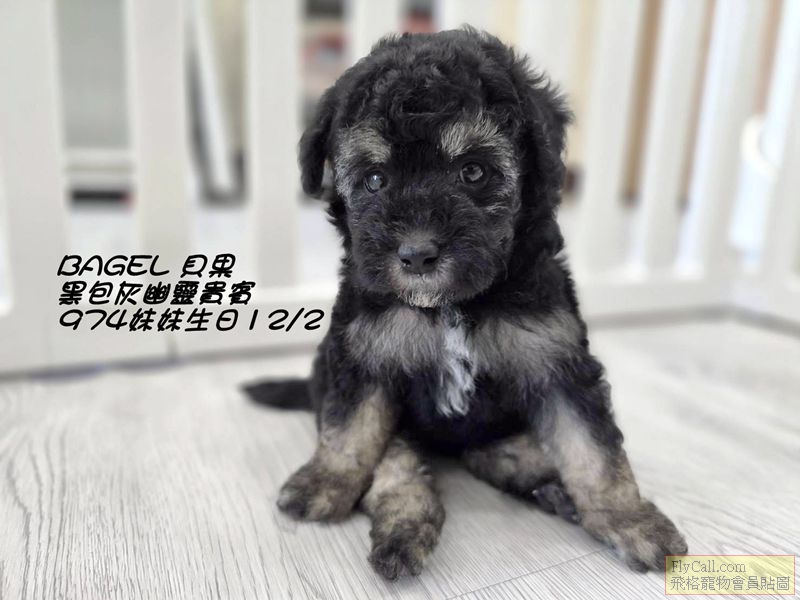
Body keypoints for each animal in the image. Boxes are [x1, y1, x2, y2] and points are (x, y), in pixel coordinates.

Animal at [244, 28, 687, 580]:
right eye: (374, 180)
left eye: (473, 172)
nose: (416, 253)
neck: (449, 305)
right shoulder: (365, 354)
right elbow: (351, 428)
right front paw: (325, 480)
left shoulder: (556, 355)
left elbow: (591, 443)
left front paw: (629, 518)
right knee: (399, 463)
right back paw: (405, 528)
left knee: (499, 452)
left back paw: (549, 483)